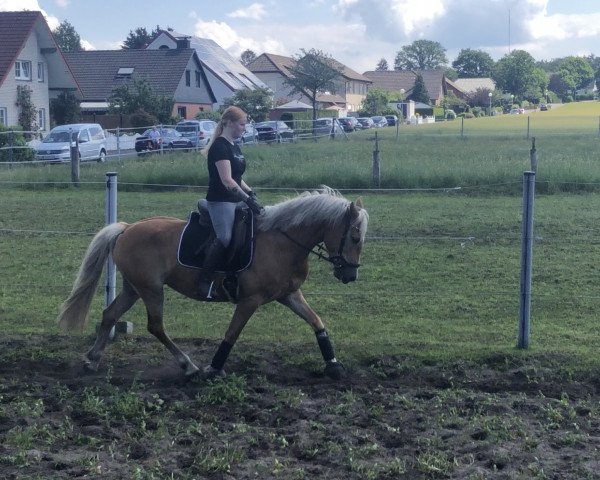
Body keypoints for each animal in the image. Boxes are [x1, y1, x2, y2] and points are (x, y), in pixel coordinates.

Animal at [57, 187, 366, 378]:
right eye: (354, 236)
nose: (350, 276)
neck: (281, 240)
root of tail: (127, 228)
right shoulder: (250, 300)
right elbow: (231, 334)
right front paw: (214, 369)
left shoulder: (289, 294)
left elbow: (317, 322)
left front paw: (334, 365)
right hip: (151, 289)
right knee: (155, 326)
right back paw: (188, 366)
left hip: (133, 288)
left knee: (110, 315)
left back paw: (93, 359)